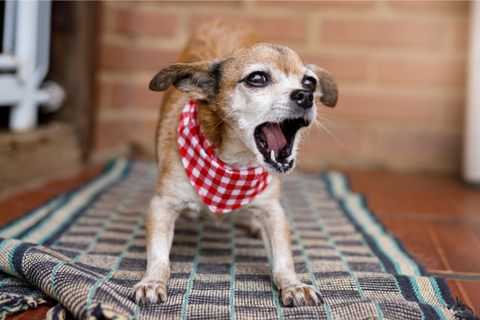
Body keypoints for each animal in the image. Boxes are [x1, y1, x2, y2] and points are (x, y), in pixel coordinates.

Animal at [129, 19, 336, 308]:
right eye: (257, 78)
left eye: (310, 82)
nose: (306, 96)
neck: (233, 165)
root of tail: (227, 20)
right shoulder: (162, 205)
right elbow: (158, 255)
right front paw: (152, 281)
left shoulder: (273, 211)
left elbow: (283, 256)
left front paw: (293, 284)